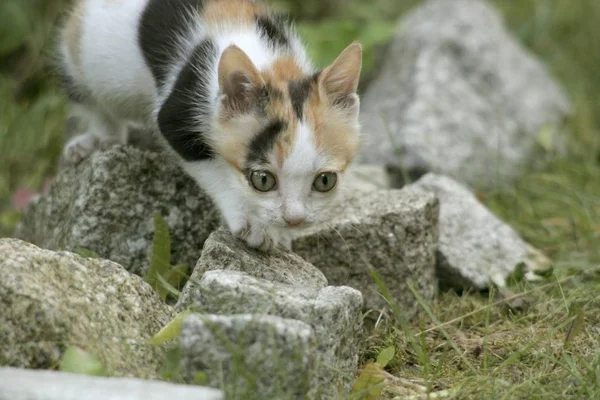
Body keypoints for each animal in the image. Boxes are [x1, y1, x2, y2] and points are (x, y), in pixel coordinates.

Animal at [58, 0, 364, 250]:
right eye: (262, 180)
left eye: (325, 181)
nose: (294, 219)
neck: (265, 59)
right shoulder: (177, 114)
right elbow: (211, 167)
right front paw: (251, 221)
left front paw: (280, 232)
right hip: (78, 55)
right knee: (92, 102)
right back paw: (96, 140)